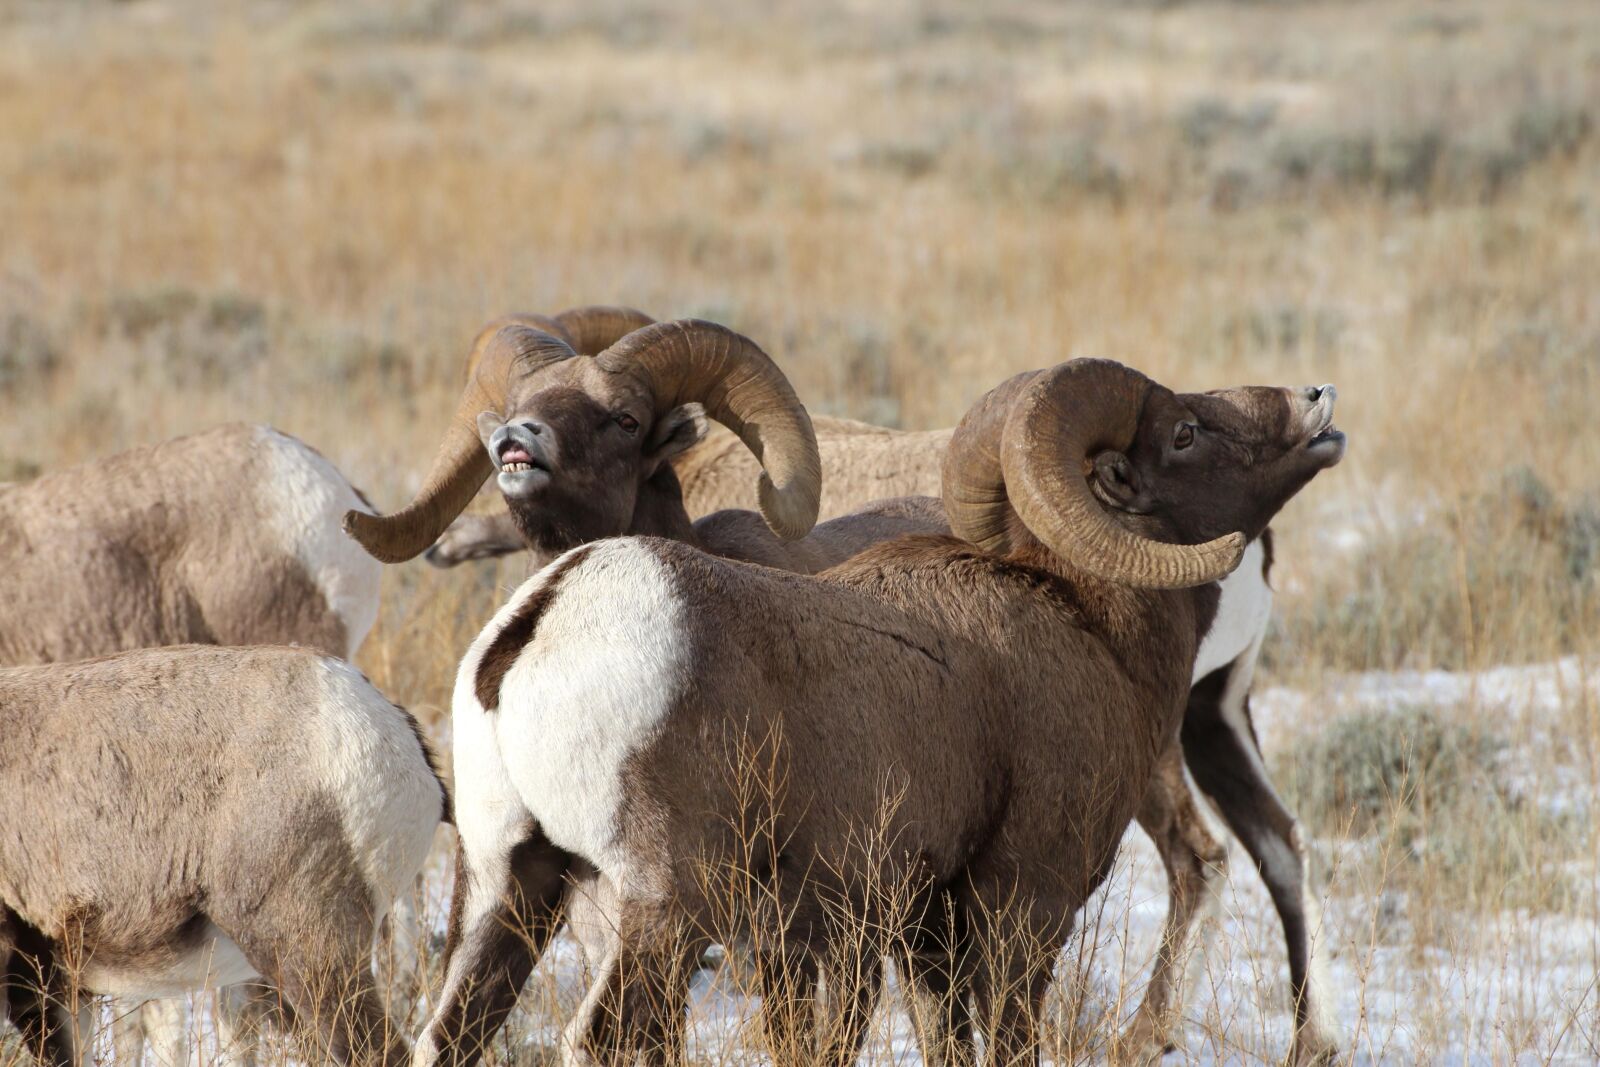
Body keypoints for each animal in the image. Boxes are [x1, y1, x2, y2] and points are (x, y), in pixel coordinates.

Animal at [390, 317, 1337, 1061]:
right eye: (1184, 433)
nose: (1318, 403)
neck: (1089, 622)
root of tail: (538, 623)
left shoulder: (916, 940)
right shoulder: (1022, 912)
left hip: (508, 887)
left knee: (448, 1035)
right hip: (659, 905)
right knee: (608, 1036)